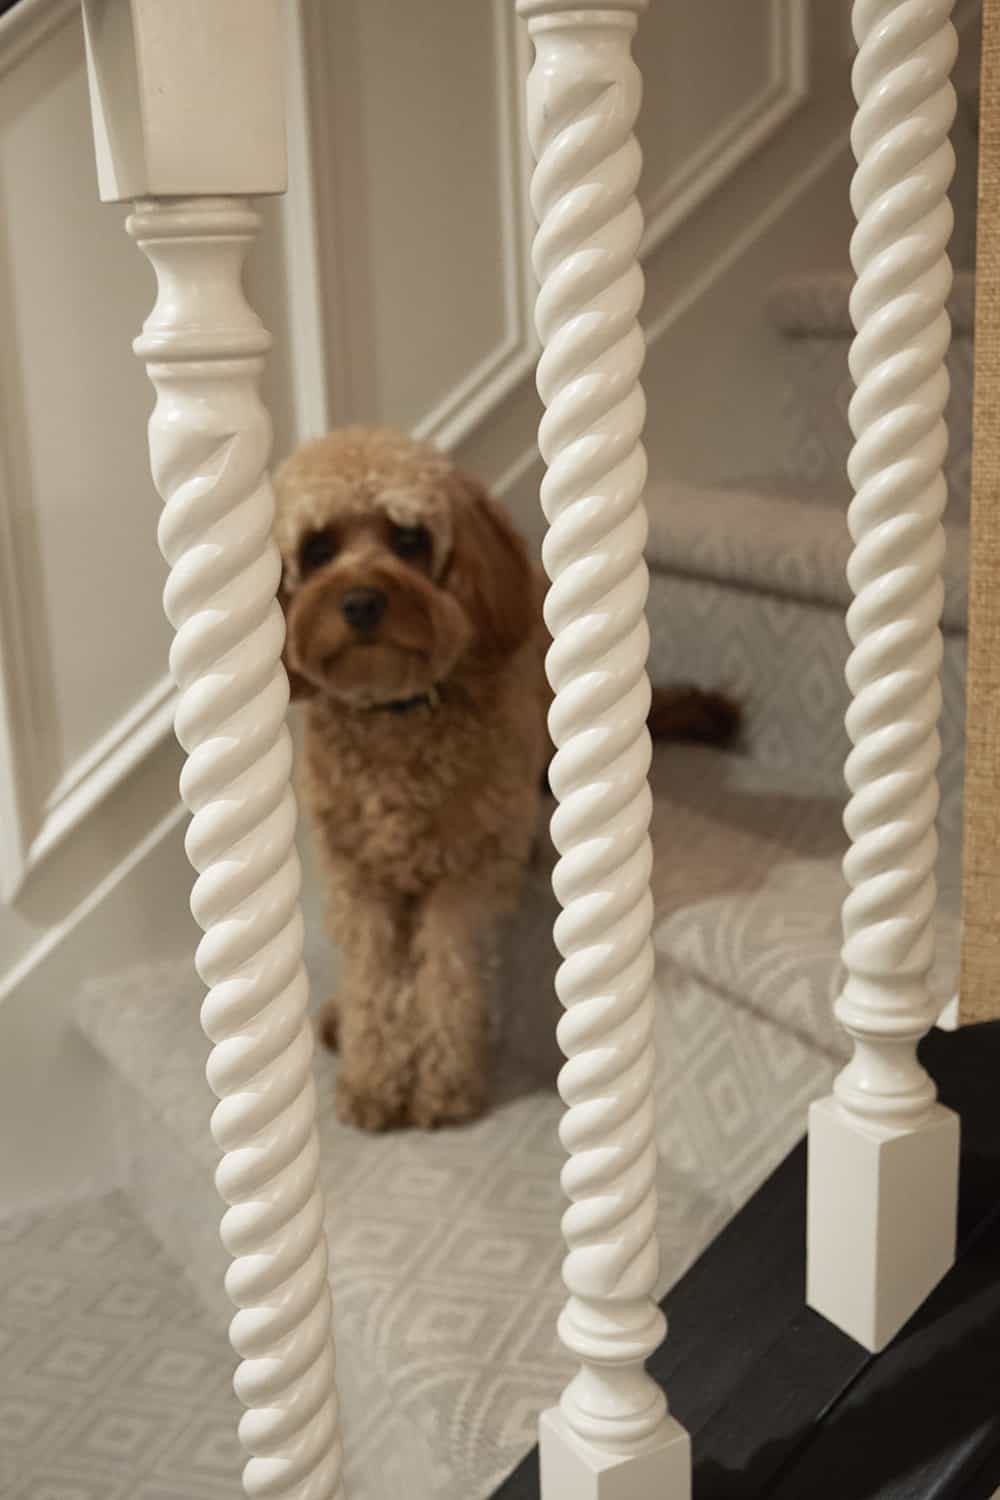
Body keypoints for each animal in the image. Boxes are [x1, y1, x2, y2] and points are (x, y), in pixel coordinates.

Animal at [274, 429, 734, 1128]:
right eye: (318, 549)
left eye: (408, 538)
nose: (361, 602)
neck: (400, 715)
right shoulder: (361, 880)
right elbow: (373, 982)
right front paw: (373, 1081)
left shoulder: (465, 872)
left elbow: (446, 976)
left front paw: (442, 1086)